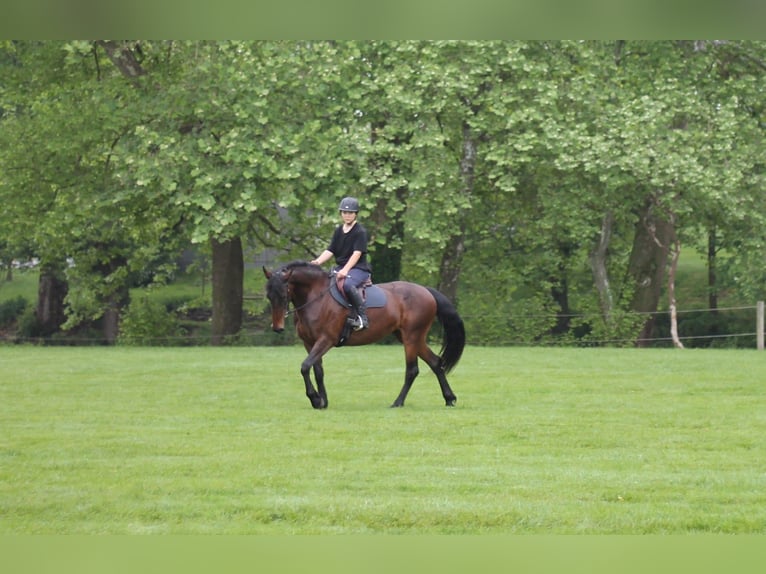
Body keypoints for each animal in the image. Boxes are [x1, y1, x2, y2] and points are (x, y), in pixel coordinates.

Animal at [263, 261, 465, 409]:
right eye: (268, 296)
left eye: (283, 295)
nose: (277, 327)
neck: (316, 296)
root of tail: (425, 291)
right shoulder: (310, 343)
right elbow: (317, 370)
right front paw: (322, 401)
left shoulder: (326, 340)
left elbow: (305, 367)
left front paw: (314, 398)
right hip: (411, 338)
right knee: (435, 363)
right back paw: (449, 398)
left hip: (411, 337)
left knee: (412, 370)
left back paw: (398, 402)